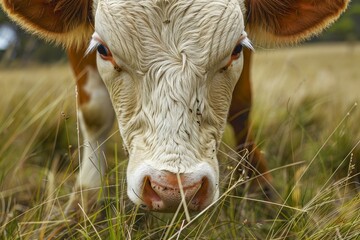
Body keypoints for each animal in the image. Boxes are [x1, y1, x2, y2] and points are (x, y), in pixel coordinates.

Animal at [0, 0, 348, 212]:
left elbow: (241, 108)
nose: (175, 189)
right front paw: (82, 203)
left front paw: (261, 187)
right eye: (103, 49)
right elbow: (95, 113)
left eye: (236, 49)